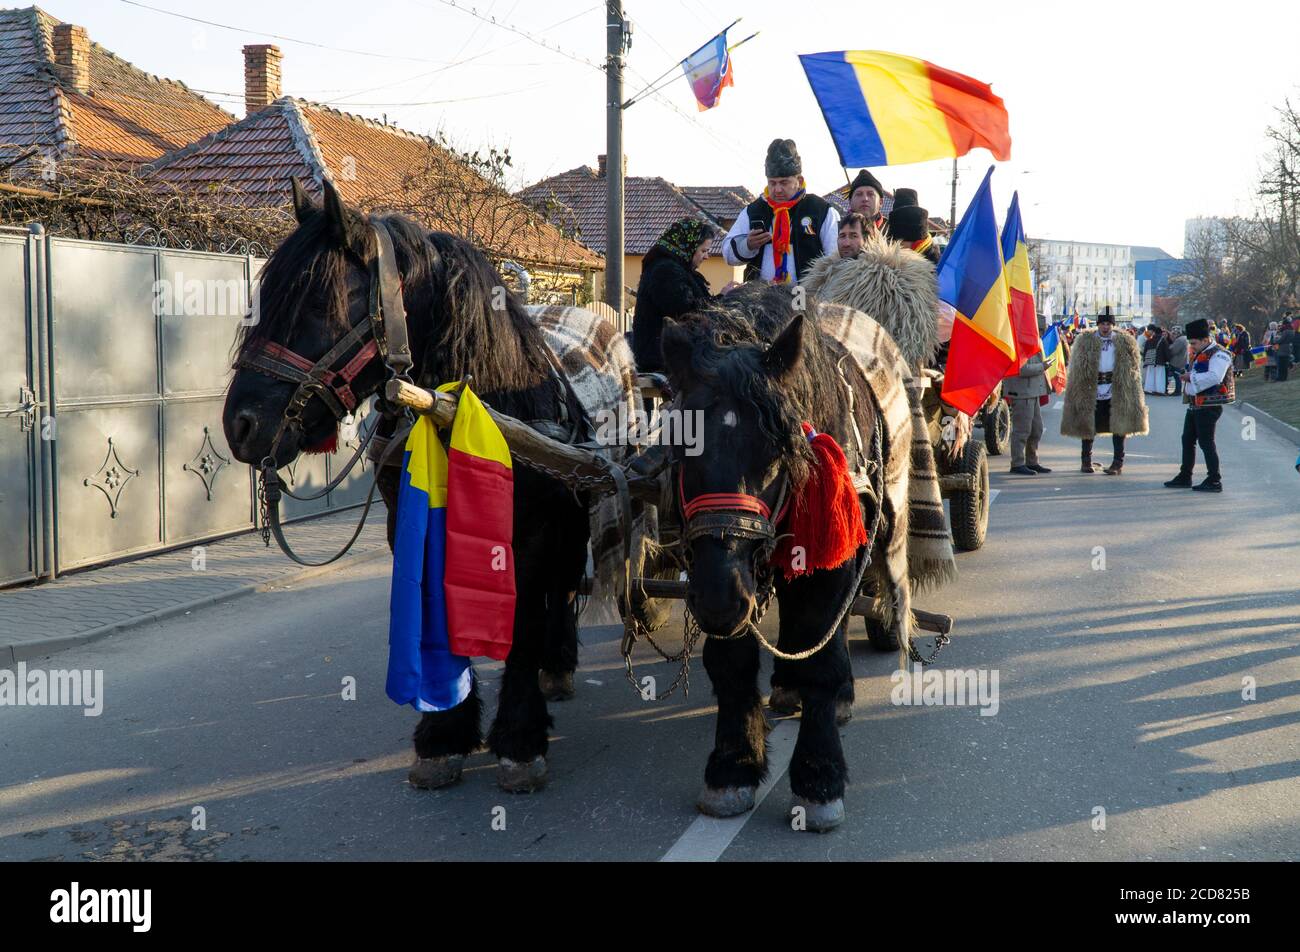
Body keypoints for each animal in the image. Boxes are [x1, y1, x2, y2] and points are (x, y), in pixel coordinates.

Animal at [222, 178, 590, 790]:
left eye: (316, 303)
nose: (240, 425)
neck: (461, 409)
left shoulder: (532, 541)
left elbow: (522, 628)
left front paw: (519, 738)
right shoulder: (410, 526)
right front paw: (444, 733)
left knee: (560, 590)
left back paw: (556, 666)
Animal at [660, 284, 883, 832]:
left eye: (775, 451)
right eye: (681, 449)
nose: (719, 601)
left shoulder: (828, 565)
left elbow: (822, 655)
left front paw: (819, 776)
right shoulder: (718, 572)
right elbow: (731, 663)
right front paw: (733, 767)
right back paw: (784, 686)